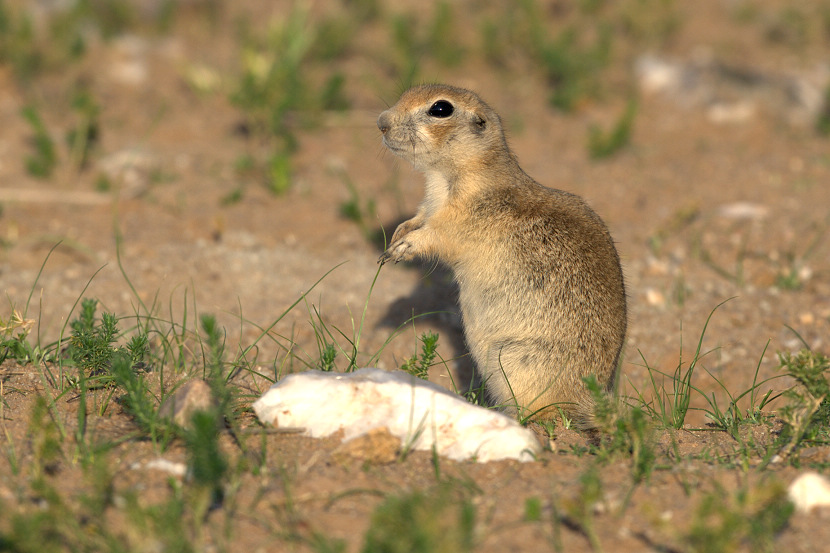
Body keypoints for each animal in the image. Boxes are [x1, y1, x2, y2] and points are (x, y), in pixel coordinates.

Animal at [376, 83, 624, 422]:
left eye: (440, 109)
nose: (381, 122)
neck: (445, 178)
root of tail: (586, 398)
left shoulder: (459, 220)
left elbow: (433, 236)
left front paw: (401, 249)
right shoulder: (428, 207)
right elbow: (417, 219)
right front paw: (397, 235)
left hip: (512, 358)